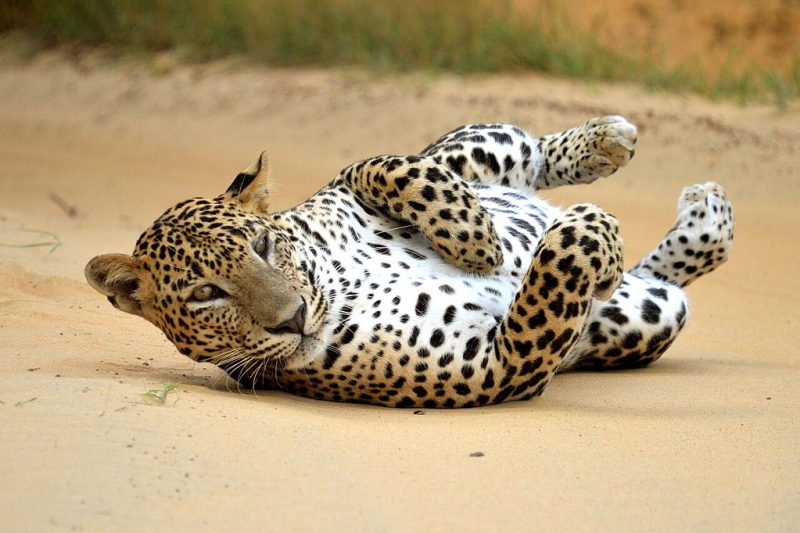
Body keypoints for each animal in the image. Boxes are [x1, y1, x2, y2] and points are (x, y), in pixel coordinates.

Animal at [85, 115, 734, 408]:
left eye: (263, 247)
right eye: (205, 295)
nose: (292, 317)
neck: (338, 283)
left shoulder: (351, 183)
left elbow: (379, 164)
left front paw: (479, 243)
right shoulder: (499, 368)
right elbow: (556, 270)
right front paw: (585, 229)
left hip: (477, 150)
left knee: (511, 151)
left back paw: (607, 144)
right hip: (647, 316)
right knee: (655, 278)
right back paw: (697, 222)